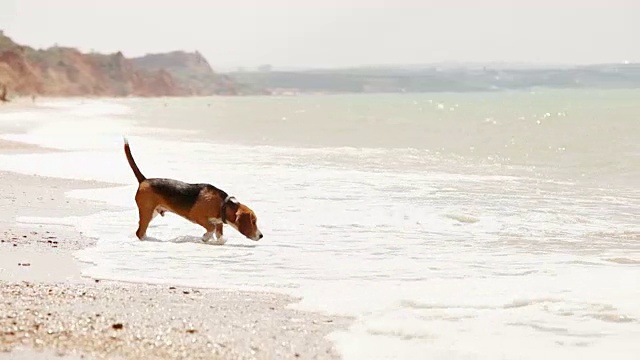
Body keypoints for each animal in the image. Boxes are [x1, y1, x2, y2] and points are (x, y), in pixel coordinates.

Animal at [122, 138, 262, 245]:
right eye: (253, 222)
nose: (261, 236)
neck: (223, 204)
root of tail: (144, 180)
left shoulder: (218, 222)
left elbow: (219, 233)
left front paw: (217, 240)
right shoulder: (197, 216)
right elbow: (210, 228)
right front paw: (205, 237)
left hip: (153, 212)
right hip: (147, 211)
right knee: (140, 232)